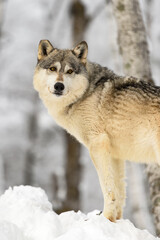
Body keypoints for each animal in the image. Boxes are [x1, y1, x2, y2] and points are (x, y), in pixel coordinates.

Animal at [33, 39, 160, 221]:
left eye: (70, 71)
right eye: (52, 69)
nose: (59, 86)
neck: (86, 93)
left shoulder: (97, 145)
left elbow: (107, 187)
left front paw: (105, 217)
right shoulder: (115, 155)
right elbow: (119, 192)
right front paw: (114, 221)